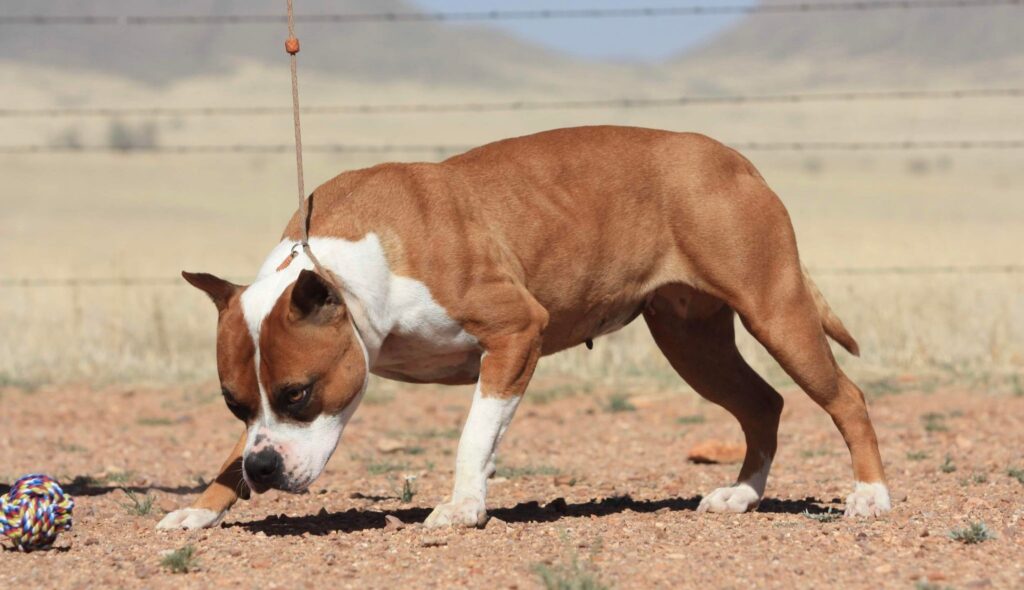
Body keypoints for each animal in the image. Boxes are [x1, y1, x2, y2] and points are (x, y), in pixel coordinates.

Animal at [157, 125, 888, 528]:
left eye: (300, 395)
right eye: (234, 404)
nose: (264, 469)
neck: (354, 263)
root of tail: (736, 160)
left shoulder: (515, 335)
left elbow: (473, 437)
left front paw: (462, 508)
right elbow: (224, 457)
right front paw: (202, 507)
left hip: (776, 309)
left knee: (845, 397)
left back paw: (870, 496)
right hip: (691, 342)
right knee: (762, 403)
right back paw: (742, 495)